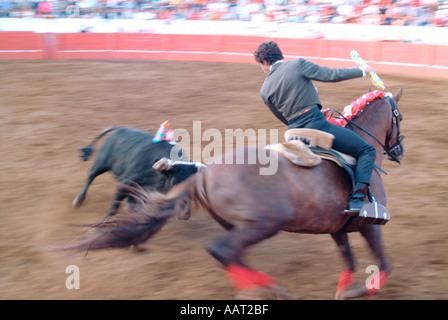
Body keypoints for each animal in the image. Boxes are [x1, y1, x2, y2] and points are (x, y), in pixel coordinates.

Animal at [68, 88, 404, 300]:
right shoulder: (369, 225)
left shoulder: (338, 228)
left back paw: (263, 288)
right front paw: (362, 290)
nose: (399, 149)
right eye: (398, 116)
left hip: (241, 226)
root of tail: (206, 172)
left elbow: (348, 259)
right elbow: (385, 262)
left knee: (231, 255)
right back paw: (266, 289)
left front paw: (344, 290)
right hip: (262, 225)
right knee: (223, 250)